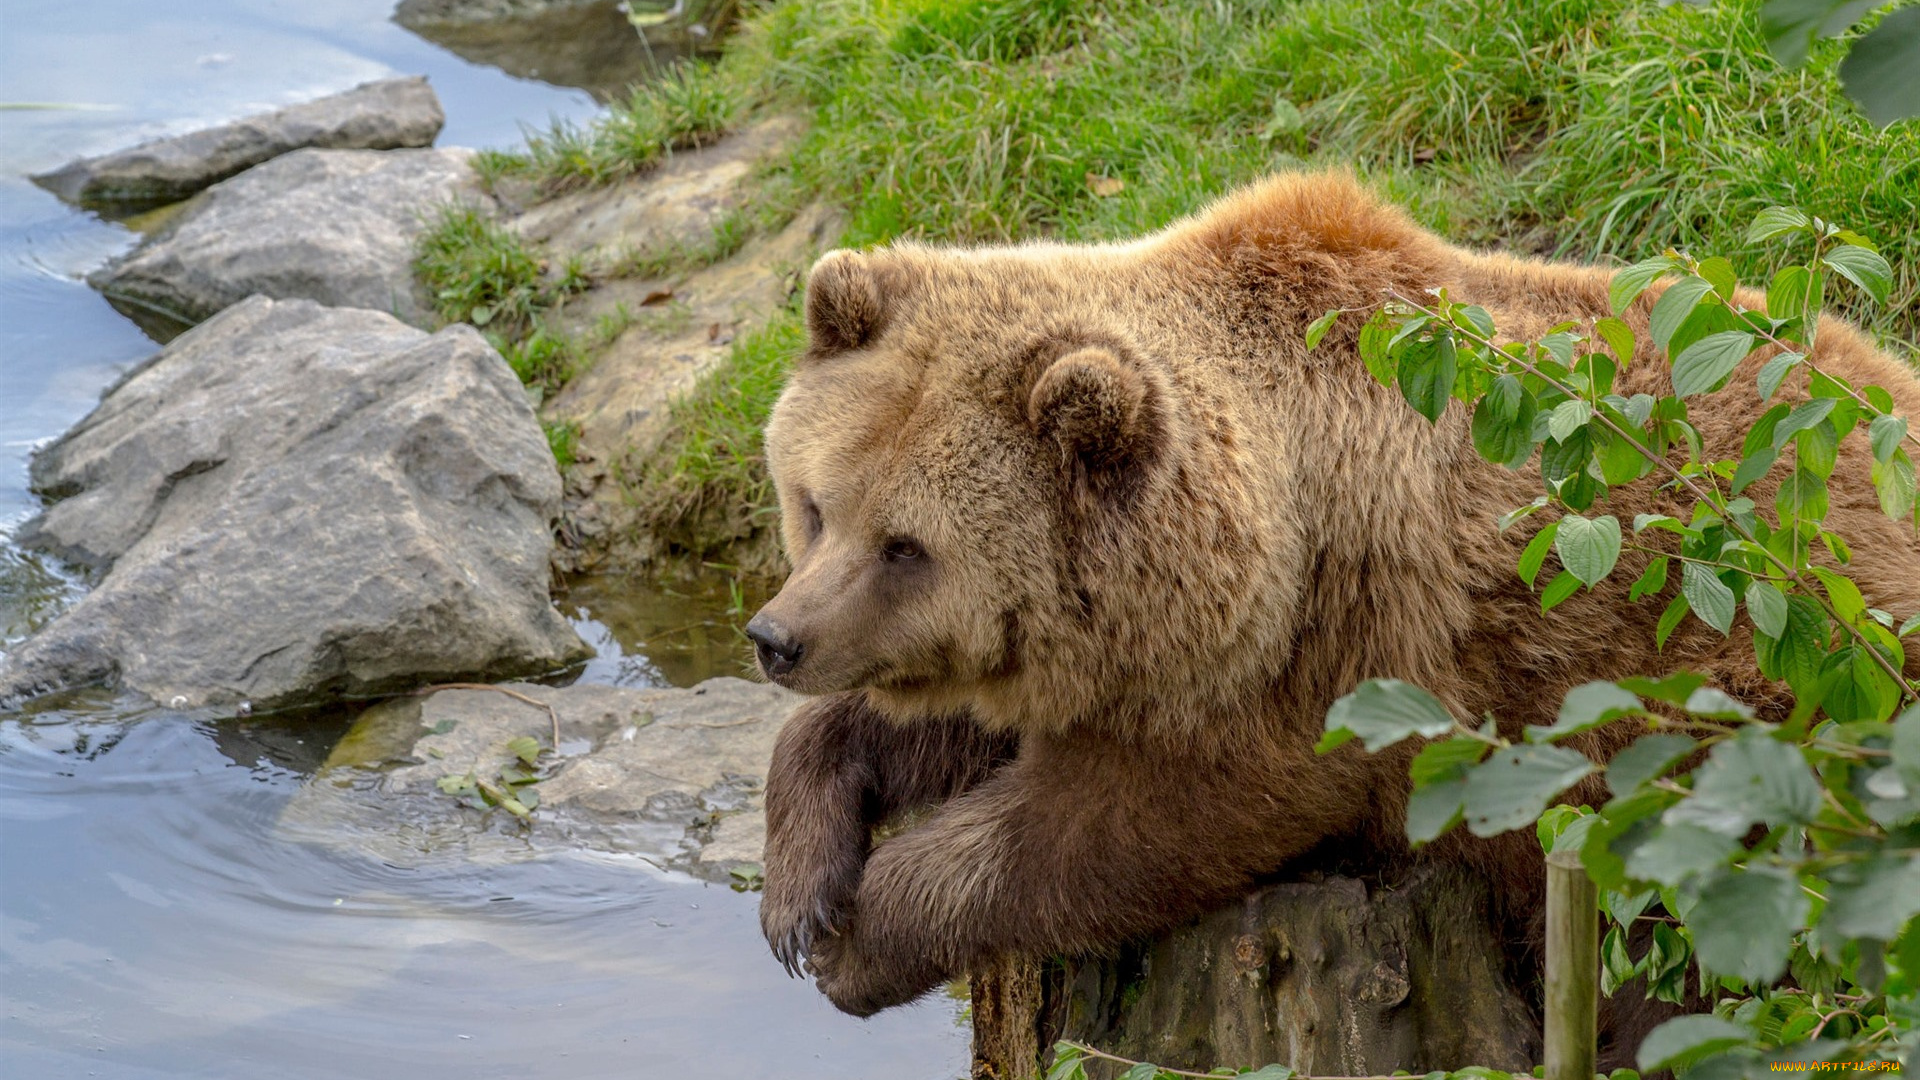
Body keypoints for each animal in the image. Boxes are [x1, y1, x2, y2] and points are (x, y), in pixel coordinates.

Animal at [744, 174, 1920, 1053]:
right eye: (817, 504)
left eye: (908, 548)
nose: (775, 639)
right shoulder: (1112, 653)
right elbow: (942, 720)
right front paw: (800, 892)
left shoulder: (1328, 668)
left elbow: (1114, 829)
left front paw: (863, 936)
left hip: (1750, 725)